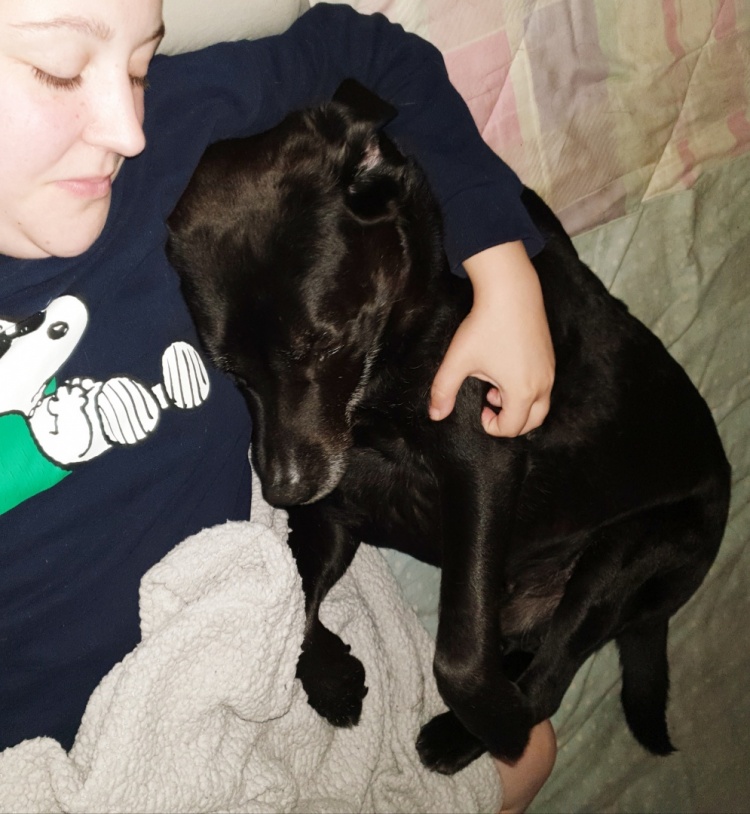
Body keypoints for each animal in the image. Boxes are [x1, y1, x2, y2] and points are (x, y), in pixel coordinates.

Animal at [166, 80, 731, 775]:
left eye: (322, 343)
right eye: (229, 370)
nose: (282, 490)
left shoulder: (482, 458)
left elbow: (457, 654)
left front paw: (494, 722)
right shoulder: (335, 508)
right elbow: (291, 594)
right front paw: (331, 677)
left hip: (629, 555)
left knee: (552, 675)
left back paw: (474, 734)